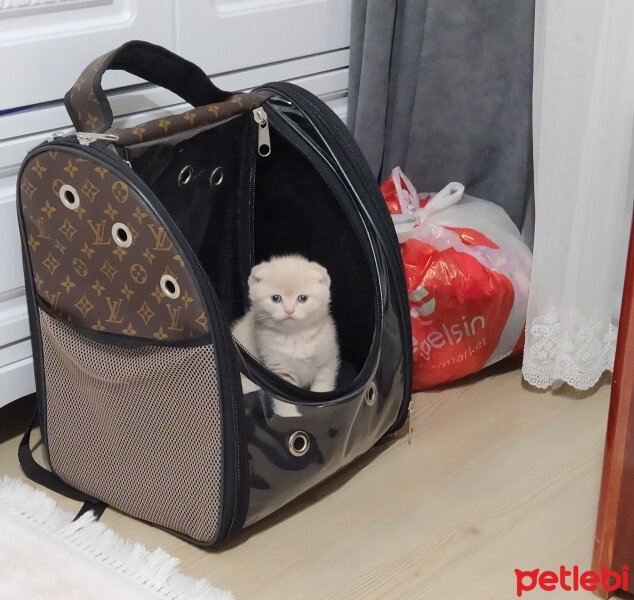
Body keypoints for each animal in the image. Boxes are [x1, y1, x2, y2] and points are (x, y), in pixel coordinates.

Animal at [232, 254, 338, 392]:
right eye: (276, 298)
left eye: (303, 298)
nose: (289, 310)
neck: (295, 336)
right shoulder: (281, 372)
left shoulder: (326, 362)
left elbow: (322, 387)